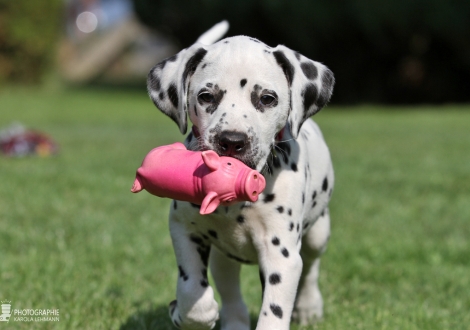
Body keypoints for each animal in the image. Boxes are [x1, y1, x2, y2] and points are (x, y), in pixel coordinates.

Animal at [147, 23, 334, 330]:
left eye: (267, 98)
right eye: (206, 96)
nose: (232, 141)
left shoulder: (281, 255)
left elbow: (274, 314)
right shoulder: (184, 228)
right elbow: (191, 289)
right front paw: (191, 312)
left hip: (318, 233)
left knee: (311, 267)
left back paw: (309, 307)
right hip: (223, 257)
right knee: (231, 292)